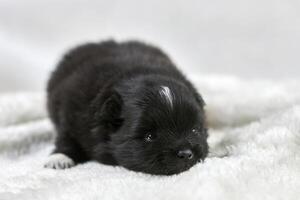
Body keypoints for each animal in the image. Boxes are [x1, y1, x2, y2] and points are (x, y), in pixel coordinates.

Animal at [45, 40, 209, 175]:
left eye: (195, 130)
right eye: (150, 136)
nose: (186, 153)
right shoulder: (71, 115)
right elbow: (66, 137)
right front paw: (59, 158)